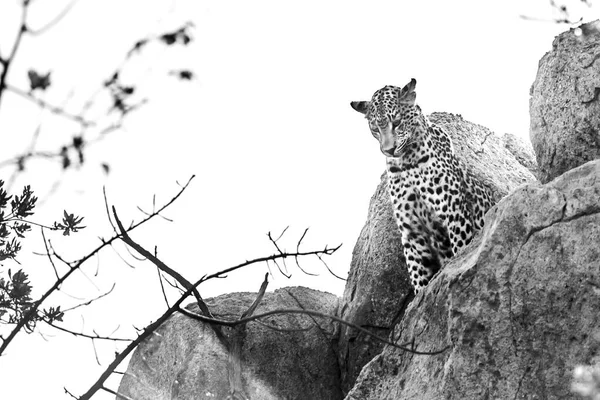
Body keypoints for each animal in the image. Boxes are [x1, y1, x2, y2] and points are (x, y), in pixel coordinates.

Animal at [352, 79, 492, 294]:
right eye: (375, 128)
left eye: (397, 122)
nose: (388, 150)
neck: (406, 163)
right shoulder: (412, 232)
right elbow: (419, 276)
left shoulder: (454, 215)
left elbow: (461, 251)